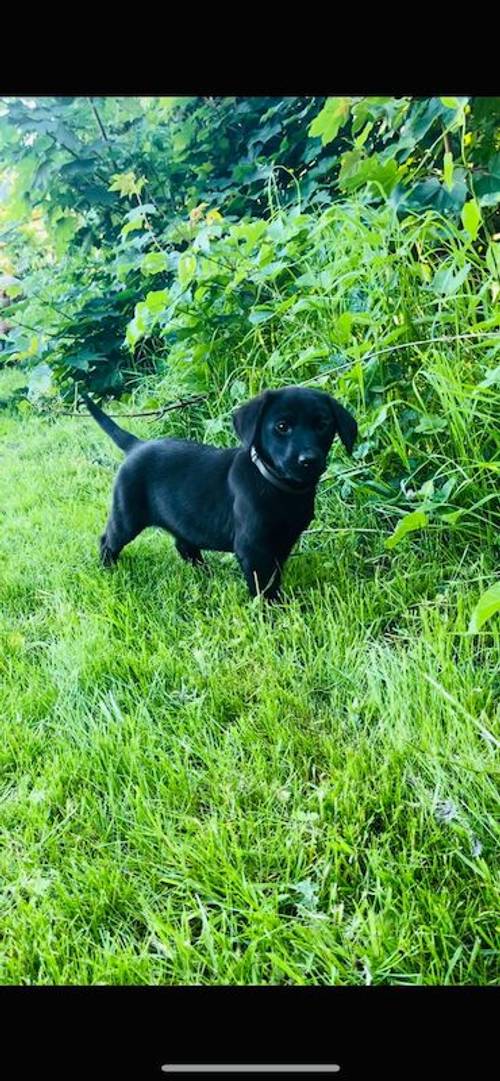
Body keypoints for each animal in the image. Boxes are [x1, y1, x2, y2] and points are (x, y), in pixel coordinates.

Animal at [83, 386, 356, 605]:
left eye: (322, 425)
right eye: (282, 426)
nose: (308, 461)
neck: (278, 487)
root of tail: (136, 446)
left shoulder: (283, 542)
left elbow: (274, 575)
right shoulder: (253, 546)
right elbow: (263, 583)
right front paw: (272, 610)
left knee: (184, 545)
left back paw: (205, 573)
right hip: (126, 514)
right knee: (108, 540)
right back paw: (108, 569)